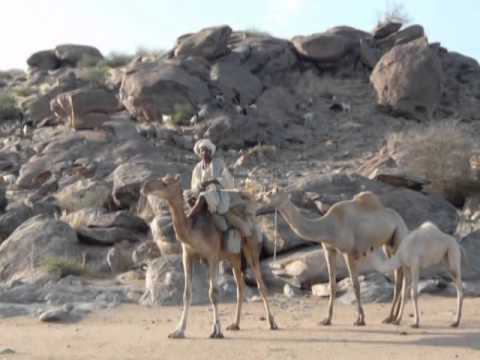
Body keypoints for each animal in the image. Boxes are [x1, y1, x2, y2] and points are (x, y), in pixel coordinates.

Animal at [141, 174, 278, 338]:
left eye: (166, 182)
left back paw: (272, 323)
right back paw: (235, 324)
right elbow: (186, 293)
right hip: (234, 257)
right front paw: (178, 331)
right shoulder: (187, 255)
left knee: (260, 284)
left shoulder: (212, 256)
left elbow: (213, 293)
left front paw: (216, 330)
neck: (192, 230)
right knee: (240, 286)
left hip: (251, 247)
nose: (145, 187)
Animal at [258, 187, 408, 324]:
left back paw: (394, 318)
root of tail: (399, 218)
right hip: (387, 245)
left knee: (401, 275)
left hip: (399, 235)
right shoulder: (329, 250)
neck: (328, 226)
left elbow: (355, 284)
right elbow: (331, 285)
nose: (259, 198)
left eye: (271, 193)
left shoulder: (348, 251)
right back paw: (390, 317)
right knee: (398, 275)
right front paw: (327, 319)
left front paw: (360, 319)